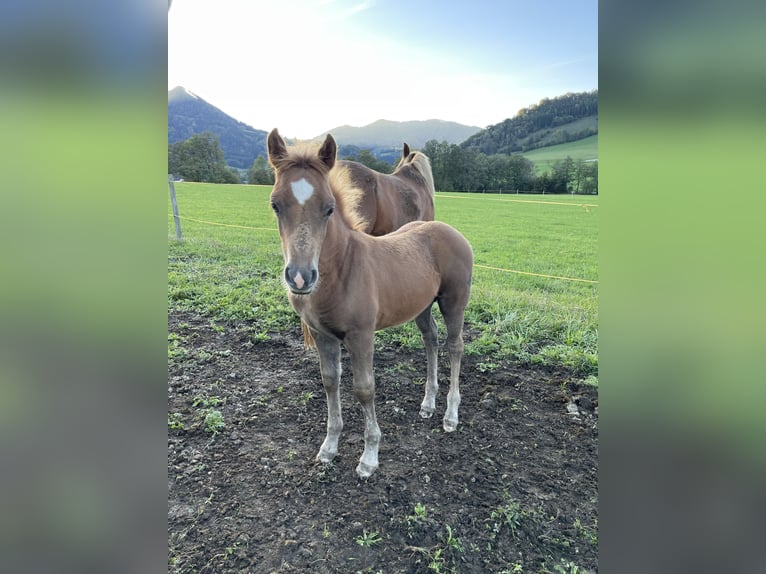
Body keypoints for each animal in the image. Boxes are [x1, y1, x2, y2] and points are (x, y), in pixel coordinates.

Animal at [270, 129, 474, 482]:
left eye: (329, 208)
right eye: (275, 205)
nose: (300, 277)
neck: (342, 268)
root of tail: (449, 230)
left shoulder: (361, 335)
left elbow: (364, 389)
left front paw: (369, 457)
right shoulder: (322, 335)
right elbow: (330, 381)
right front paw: (328, 447)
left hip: (454, 301)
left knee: (455, 346)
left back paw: (450, 414)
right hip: (421, 306)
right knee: (431, 339)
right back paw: (428, 403)